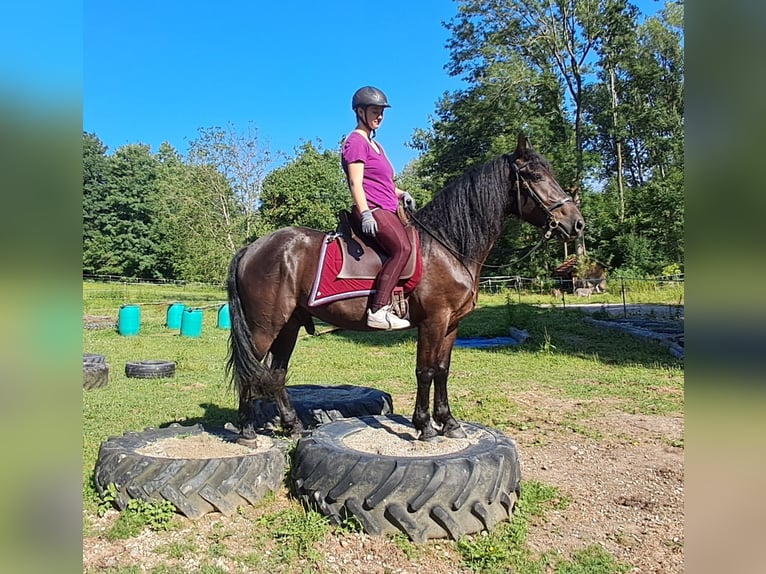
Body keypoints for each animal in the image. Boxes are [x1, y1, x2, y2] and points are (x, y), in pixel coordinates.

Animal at [226, 134, 584, 442]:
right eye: (535, 175)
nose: (577, 223)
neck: (447, 246)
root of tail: (250, 249)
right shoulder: (433, 321)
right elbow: (425, 371)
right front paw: (424, 426)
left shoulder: (451, 324)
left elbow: (442, 370)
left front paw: (449, 422)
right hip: (264, 327)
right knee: (251, 371)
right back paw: (246, 431)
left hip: (289, 325)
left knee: (276, 373)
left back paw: (293, 426)